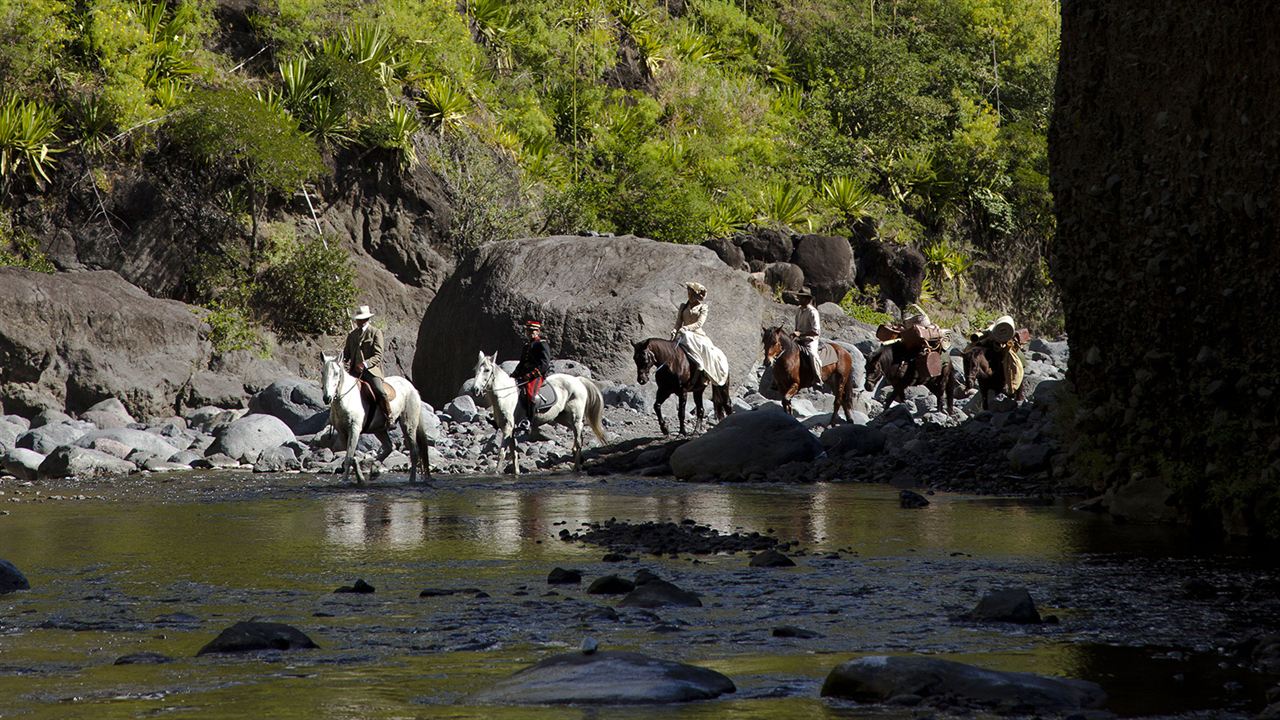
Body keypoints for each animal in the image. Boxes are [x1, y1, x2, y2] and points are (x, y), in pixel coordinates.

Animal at [320, 351, 435, 481]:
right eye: (322, 372)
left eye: (336, 373)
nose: (327, 398)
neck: (347, 398)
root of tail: (412, 388)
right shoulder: (342, 432)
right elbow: (352, 457)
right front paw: (361, 479)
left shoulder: (354, 429)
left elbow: (349, 457)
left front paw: (345, 481)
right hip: (379, 430)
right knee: (390, 447)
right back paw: (374, 469)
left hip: (408, 425)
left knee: (414, 451)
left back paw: (411, 480)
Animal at [473, 351, 606, 474]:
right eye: (476, 370)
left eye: (487, 370)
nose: (475, 389)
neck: (506, 396)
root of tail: (577, 380)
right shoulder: (510, 430)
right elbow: (513, 453)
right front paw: (516, 473)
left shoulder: (507, 428)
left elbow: (502, 453)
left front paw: (496, 473)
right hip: (563, 418)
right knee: (579, 438)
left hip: (575, 418)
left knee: (578, 442)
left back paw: (576, 468)